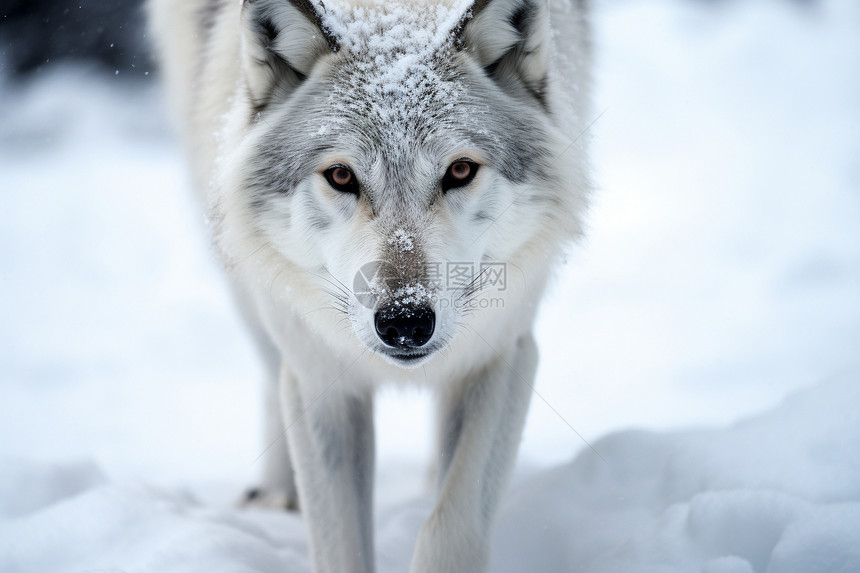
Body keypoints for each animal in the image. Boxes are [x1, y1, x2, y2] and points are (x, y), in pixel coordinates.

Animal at [149, 0, 592, 568]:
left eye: (461, 171)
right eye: (341, 177)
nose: (405, 321)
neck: (395, 9)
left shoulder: (502, 352)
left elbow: (450, 525)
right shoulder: (320, 377)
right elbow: (340, 544)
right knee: (271, 370)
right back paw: (276, 493)